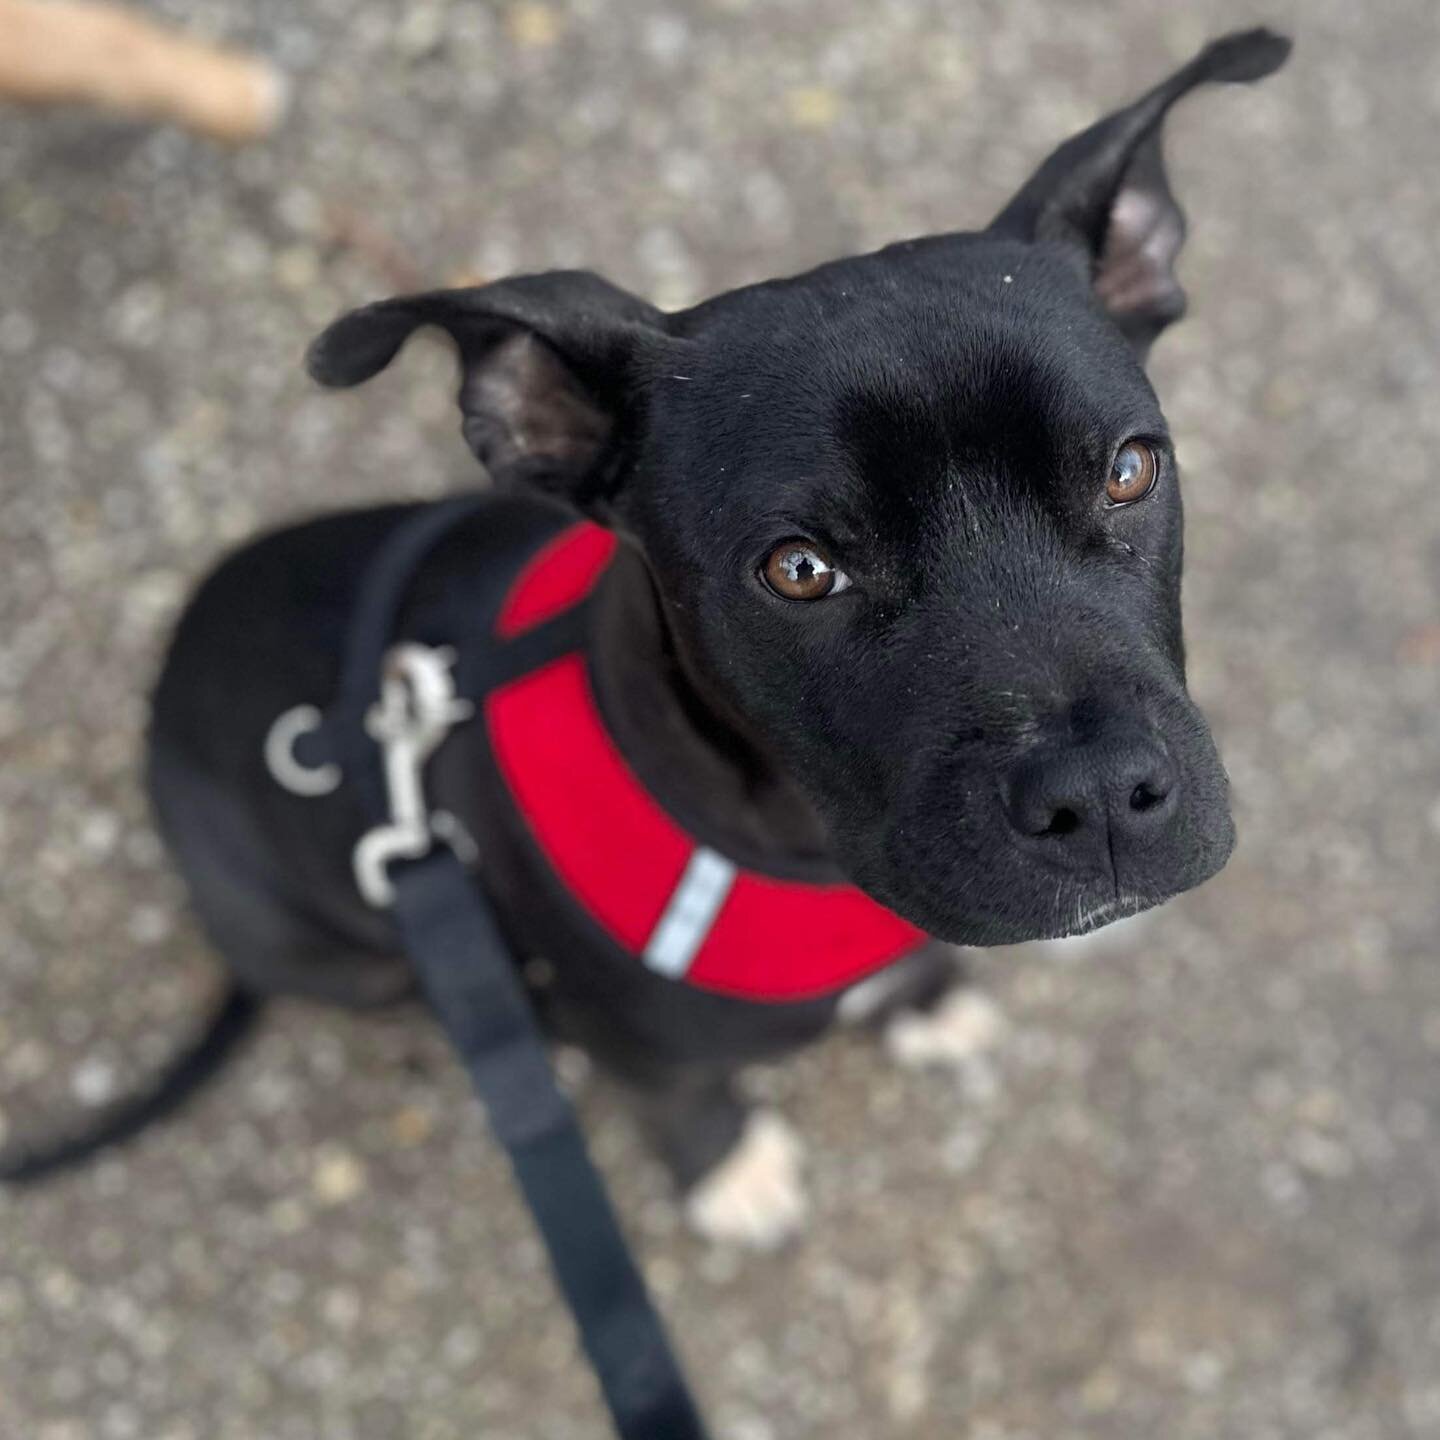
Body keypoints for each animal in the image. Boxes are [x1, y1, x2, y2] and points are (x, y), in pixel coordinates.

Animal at [2, 28, 1296, 1244]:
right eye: (799, 569)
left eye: (1130, 470)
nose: (1101, 795)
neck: (792, 846)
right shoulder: (635, 1045)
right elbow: (681, 1098)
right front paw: (729, 1171)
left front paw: (926, 1005)